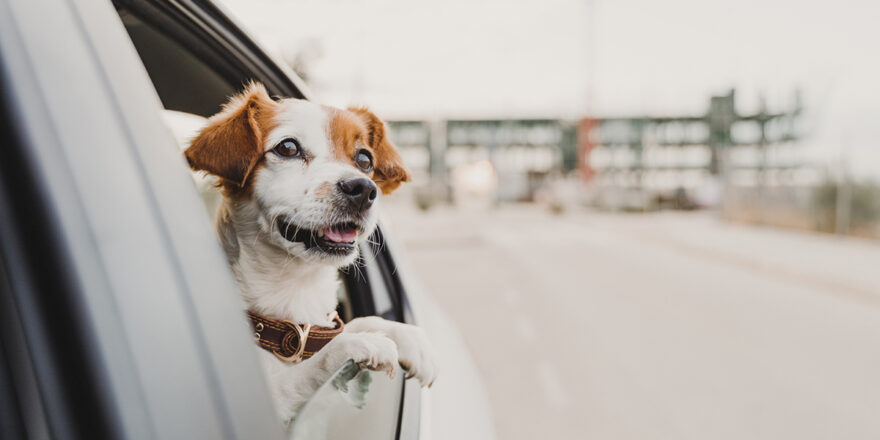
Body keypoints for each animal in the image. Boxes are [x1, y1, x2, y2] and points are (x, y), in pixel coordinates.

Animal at [185, 83, 436, 430]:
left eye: (364, 159)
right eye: (288, 147)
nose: (363, 188)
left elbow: (355, 322)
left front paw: (406, 335)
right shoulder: (272, 403)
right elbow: (312, 366)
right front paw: (361, 344)